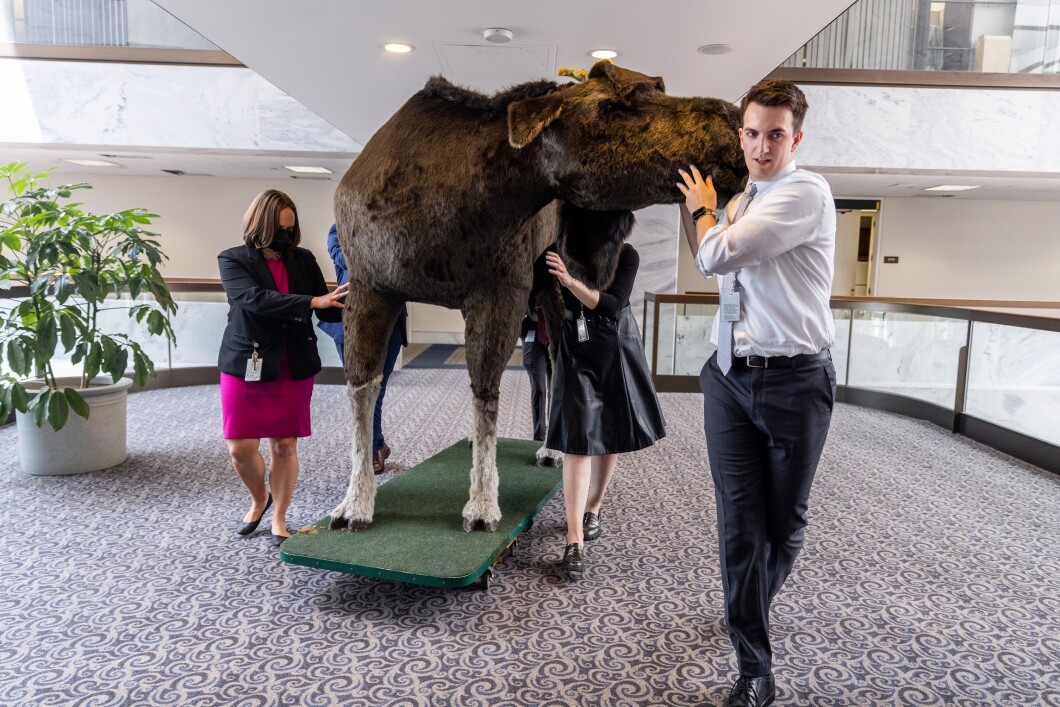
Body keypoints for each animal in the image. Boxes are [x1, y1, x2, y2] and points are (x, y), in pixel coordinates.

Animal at [328, 60, 746, 534]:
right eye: (615, 105)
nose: (734, 121)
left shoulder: (499, 293)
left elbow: (486, 389)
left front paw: (482, 505)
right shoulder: (370, 287)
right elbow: (364, 388)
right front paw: (354, 503)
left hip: (550, 286)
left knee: (557, 355)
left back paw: (550, 448)